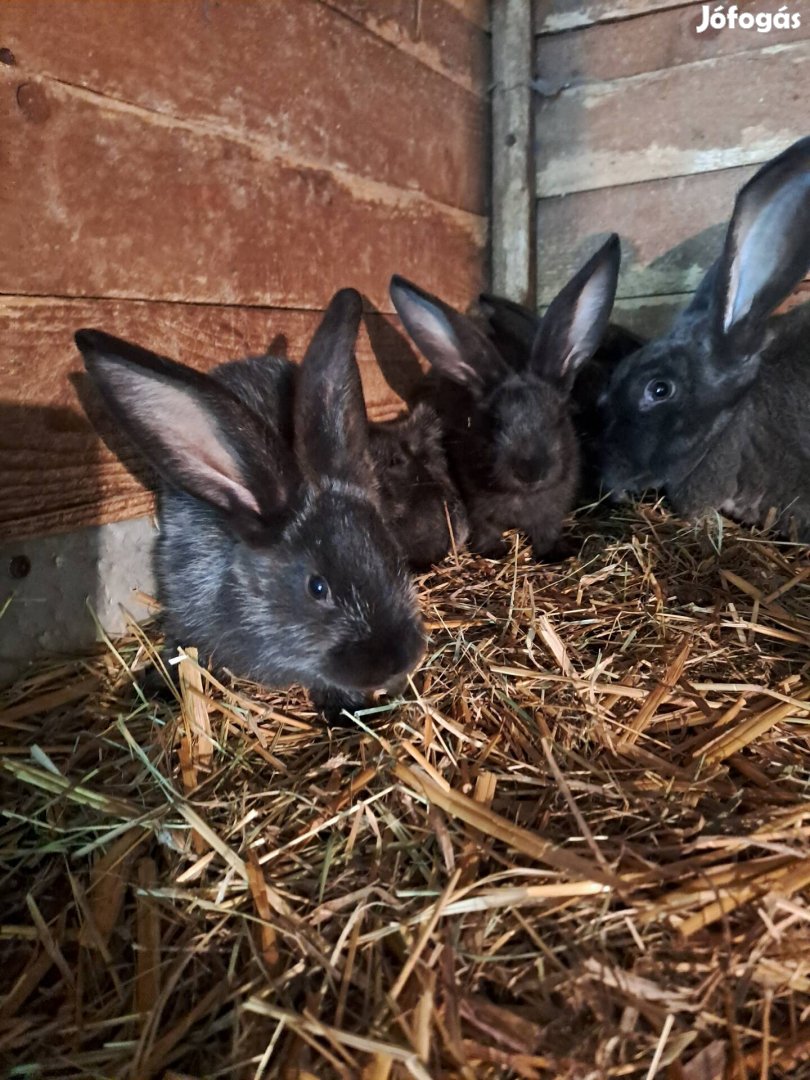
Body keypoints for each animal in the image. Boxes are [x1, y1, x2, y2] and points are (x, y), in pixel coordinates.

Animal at [390, 235, 622, 557]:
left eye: (559, 417)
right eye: (494, 422)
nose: (530, 471)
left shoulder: (552, 513)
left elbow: (547, 530)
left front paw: (553, 554)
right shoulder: (477, 507)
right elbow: (486, 528)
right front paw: (494, 551)